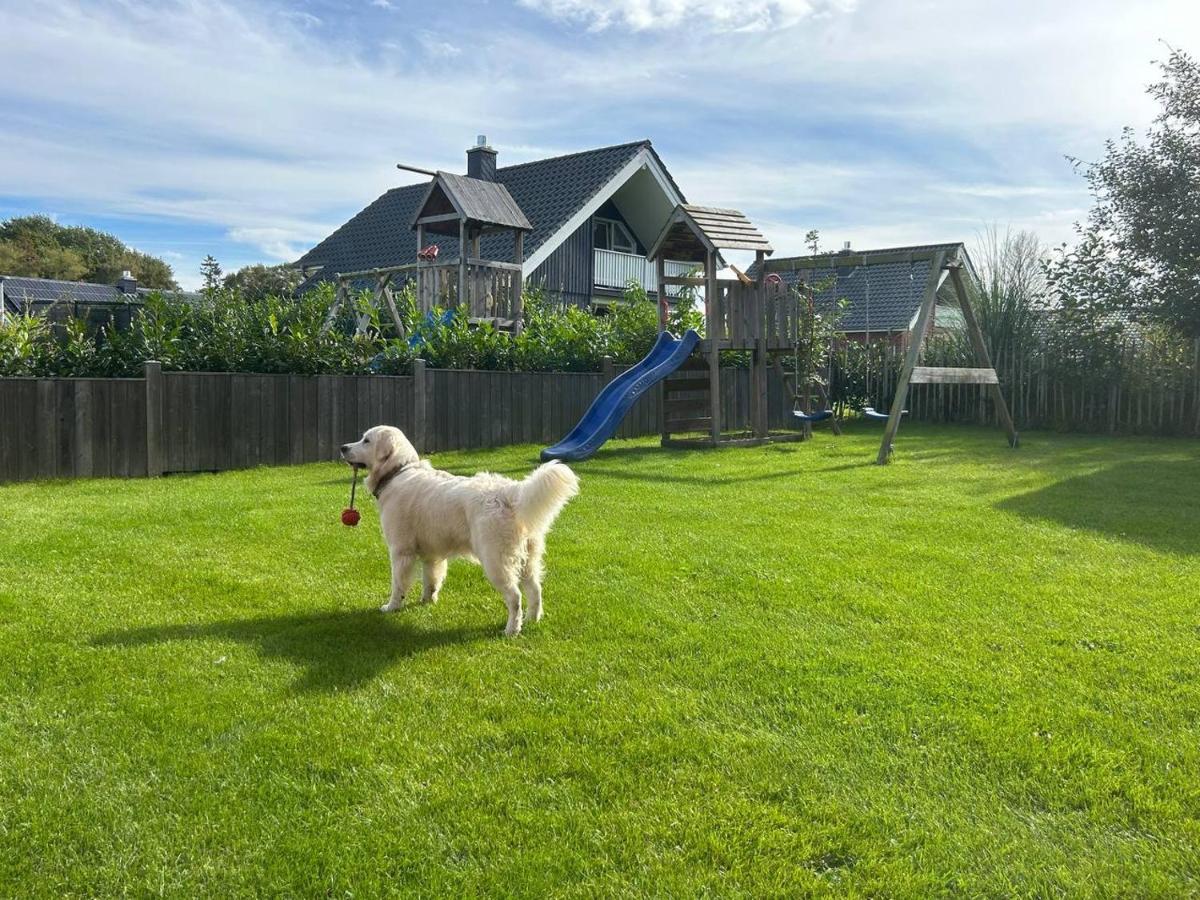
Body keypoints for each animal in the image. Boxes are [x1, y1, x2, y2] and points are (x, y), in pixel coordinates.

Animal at [338, 427, 580, 633]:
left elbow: (398, 585)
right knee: (535, 589)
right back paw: (532, 620)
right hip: (529, 559)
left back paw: (512, 630)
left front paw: (391, 607)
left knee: (515, 597)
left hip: (496, 562)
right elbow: (431, 580)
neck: (398, 471)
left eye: (366, 440)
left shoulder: (400, 551)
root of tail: (508, 492)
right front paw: (427, 602)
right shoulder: (432, 554)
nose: (343, 447)